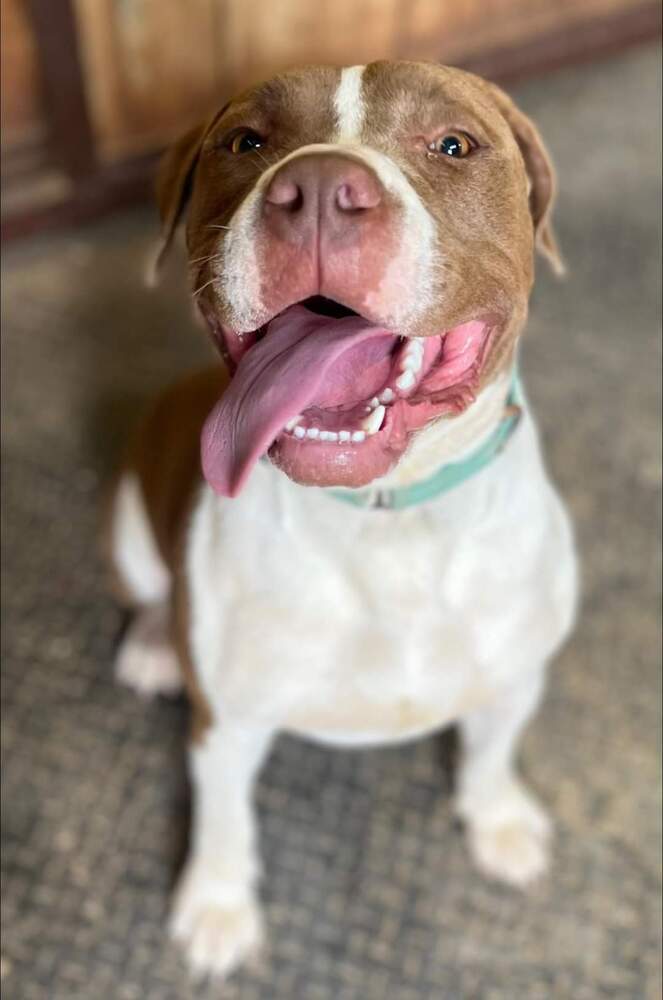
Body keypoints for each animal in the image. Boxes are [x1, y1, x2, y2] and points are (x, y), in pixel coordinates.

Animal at [106, 60, 580, 976]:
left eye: (453, 144)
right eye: (244, 141)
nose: (321, 188)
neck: (386, 518)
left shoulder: (516, 673)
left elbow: (490, 750)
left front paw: (498, 820)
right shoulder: (226, 722)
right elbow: (223, 817)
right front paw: (216, 907)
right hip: (125, 524)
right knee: (149, 590)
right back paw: (152, 643)